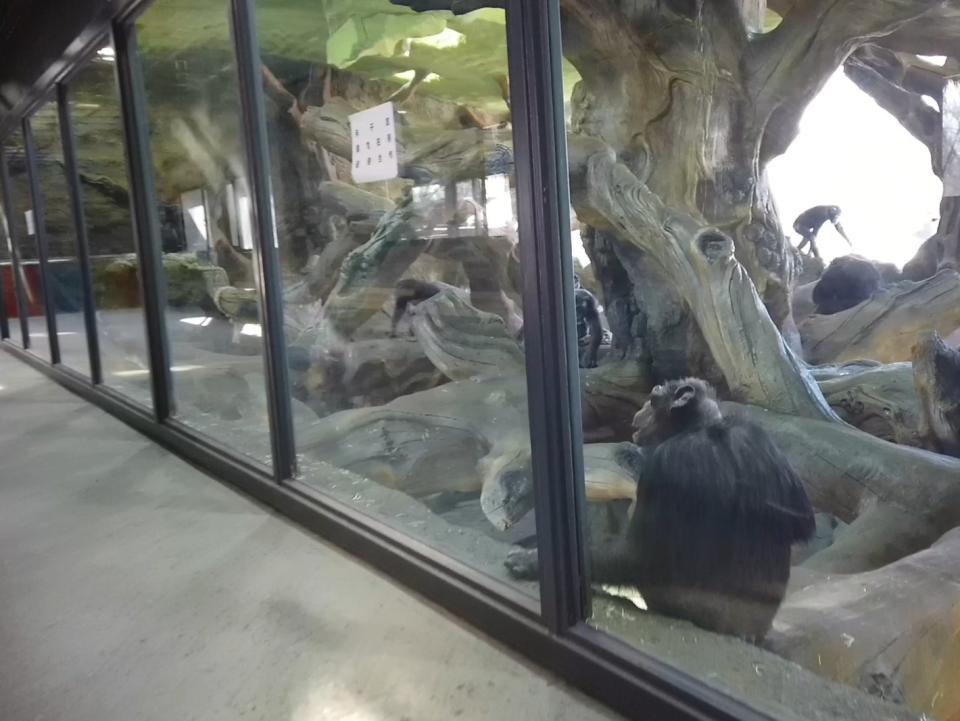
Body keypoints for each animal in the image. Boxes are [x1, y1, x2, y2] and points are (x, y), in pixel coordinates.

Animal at [506, 376, 812, 640]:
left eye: (653, 399)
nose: (640, 410)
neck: (703, 428)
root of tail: (746, 634)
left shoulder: (667, 463)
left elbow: (639, 556)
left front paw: (531, 561)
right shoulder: (759, 437)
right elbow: (802, 522)